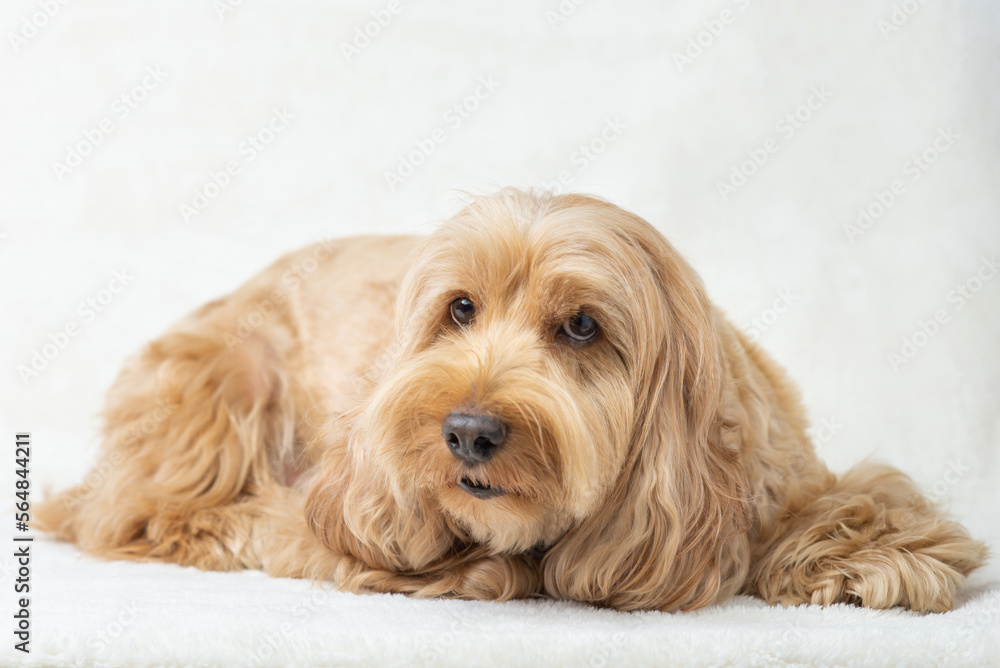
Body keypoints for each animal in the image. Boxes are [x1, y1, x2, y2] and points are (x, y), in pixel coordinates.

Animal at [37, 188, 984, 612]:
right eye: (460, 309)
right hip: (228, 378)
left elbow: (865, 504)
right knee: (143, 514)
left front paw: (868, 556)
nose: (467, 432)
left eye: (582, 327)